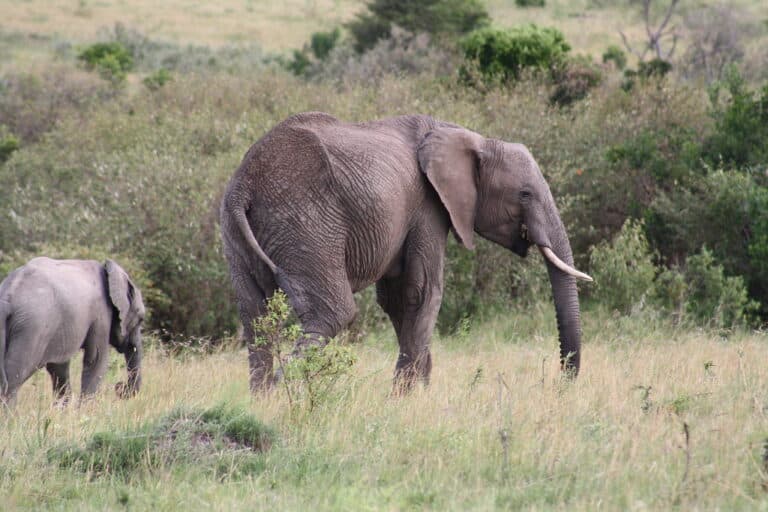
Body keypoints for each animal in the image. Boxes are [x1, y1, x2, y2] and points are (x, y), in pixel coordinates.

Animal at [0, 257, 145, 406]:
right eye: (141, 319)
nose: (120, 386)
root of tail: (8, 296)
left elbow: (58, 366)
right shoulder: (101, 314)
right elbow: (96, 359)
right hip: (33, 328)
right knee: (14, 377)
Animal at [219, 112, 592, 393]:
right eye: (525, 194)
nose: (561, 386)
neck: (469, 138)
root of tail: (244, 186)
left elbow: (397, 300)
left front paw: (415, 394)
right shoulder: (428, 206)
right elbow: (421, 293)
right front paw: (404, 399)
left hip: (237, 233)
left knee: (256, 315)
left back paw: (261, 401)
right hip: (306, 222)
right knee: (331, 313)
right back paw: (281, 399)